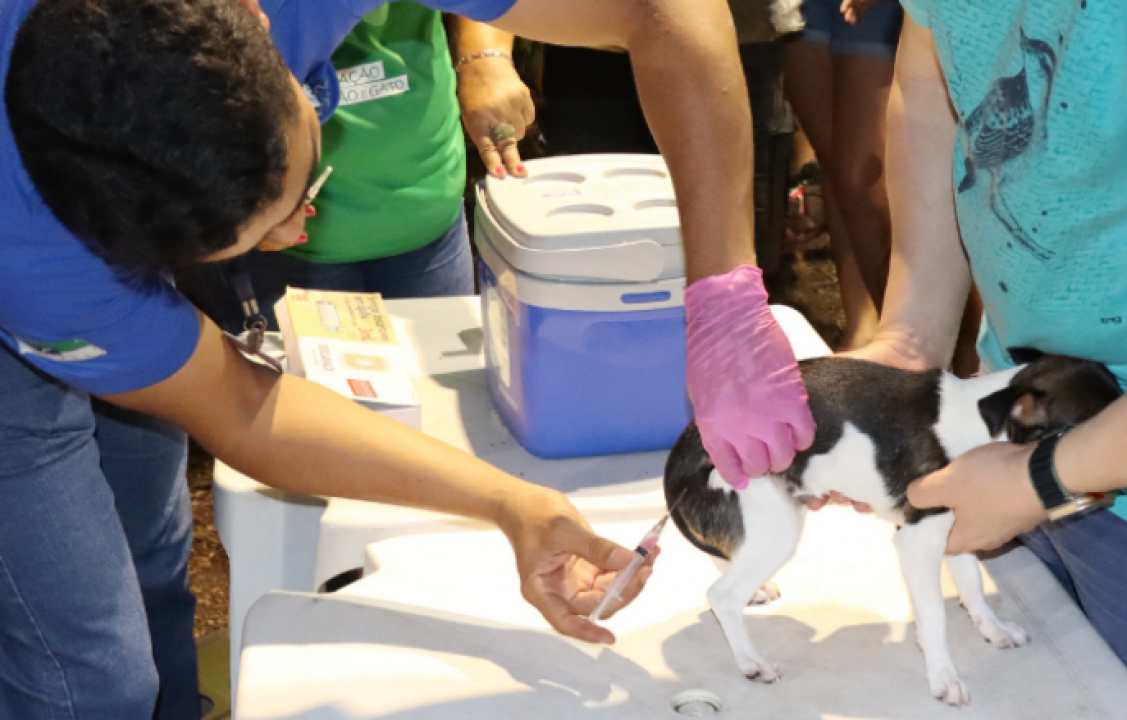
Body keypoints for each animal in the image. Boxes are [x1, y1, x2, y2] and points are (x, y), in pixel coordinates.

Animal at [662, 358, 1122, 707]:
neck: (982, 424)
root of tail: (682, 456)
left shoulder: (956, 528)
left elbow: (973, 586)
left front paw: (992, 630)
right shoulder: (917, 541)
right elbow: (933, 615)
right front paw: (943, 676)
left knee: (725, 560)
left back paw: (754, 590)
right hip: (775, 525)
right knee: (722, 597)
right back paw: (750, 661)